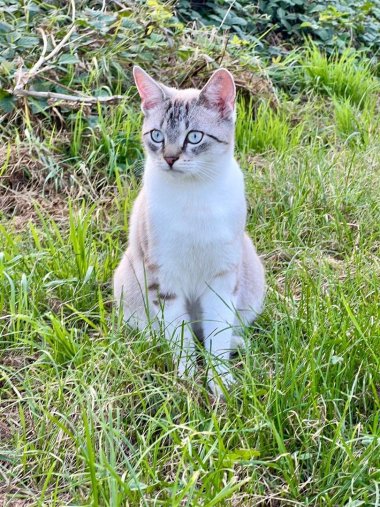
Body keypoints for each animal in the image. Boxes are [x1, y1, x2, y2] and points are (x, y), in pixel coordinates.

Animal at [114, 65, 266, 394]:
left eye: (194, 137)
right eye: (157, 136)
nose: (170, 158)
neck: (193, 198)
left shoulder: (222, 278)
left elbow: (217, 336)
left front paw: (220, 385)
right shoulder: (165, 279)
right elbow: (179, 336)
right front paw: (184, 380)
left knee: (218, 333)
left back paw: (237, 344)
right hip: (128, 281)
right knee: (162, 333)